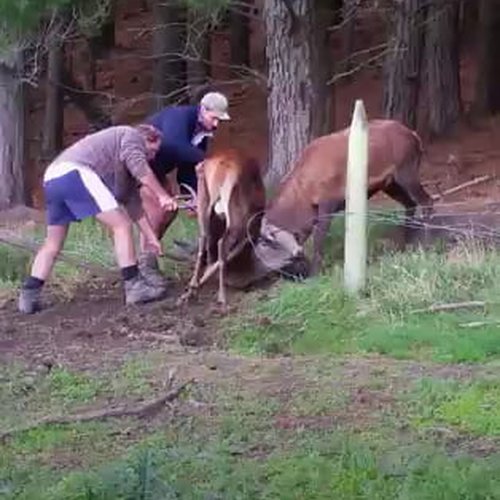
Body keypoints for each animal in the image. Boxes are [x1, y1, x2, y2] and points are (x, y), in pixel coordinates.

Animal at [178, 148, 268, 306]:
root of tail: (222, 170)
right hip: (236, 215)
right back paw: (222, 297)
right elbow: (236, 250)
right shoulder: (252, 222)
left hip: (204, 202)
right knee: (221, 244)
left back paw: (192, 287)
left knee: (204, 239)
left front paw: (194, 287)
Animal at [262, 118, 434, 274]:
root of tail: (414, 136)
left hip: (407, 173)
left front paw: (315, 274)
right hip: (390, 184)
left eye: (268, 244)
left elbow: (318, 240)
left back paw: (425, 243)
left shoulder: (328, 203)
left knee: (427, 200)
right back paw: (403, 244)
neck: (304, 195)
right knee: (410, 203)